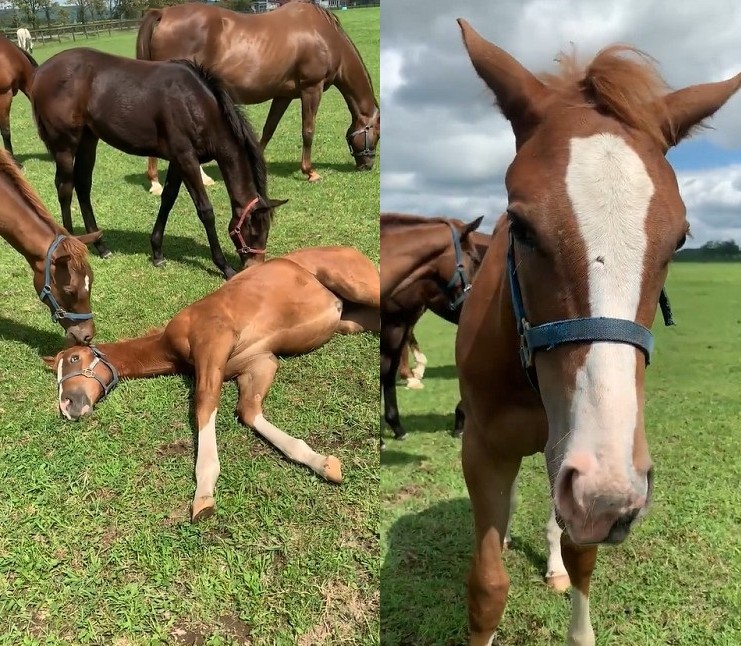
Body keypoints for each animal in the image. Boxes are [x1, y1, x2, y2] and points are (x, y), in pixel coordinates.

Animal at [31, 48, 286, 280]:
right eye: (255, 229)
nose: (255, 266)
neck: (196, 104)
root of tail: (41, 73)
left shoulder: (177, 160)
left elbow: (168, 199)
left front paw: (157, 253)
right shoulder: (186, 158)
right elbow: (205, 211)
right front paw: (224, 266)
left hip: (88, 140)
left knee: (83, 185)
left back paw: (101, 247)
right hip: (65, 145)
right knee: (65, 188)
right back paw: (71, 243)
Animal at [45, 245, 379, 521]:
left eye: (74, 358)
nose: (67, 406)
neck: (169, 344)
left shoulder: (213, 342)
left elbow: (205, 403)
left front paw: (203, 493)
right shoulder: (259, 363)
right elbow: (249, 412)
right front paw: (322, 463)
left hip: (359, 288)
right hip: (354, 322)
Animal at [136, 1, 379, 192]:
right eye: (376, 133)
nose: (367, 166)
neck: (324, 36)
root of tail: (164, 13)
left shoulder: (283, 95)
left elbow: (268, 129)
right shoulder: (312, 88)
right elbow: (308, 131)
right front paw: (310, 172)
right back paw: (168, 182)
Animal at [454, 20, 741, 645]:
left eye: (679, 239)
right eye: (522, 226)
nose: (609, 492)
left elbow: (583, 557)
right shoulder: (483, 449)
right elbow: (487, 587)